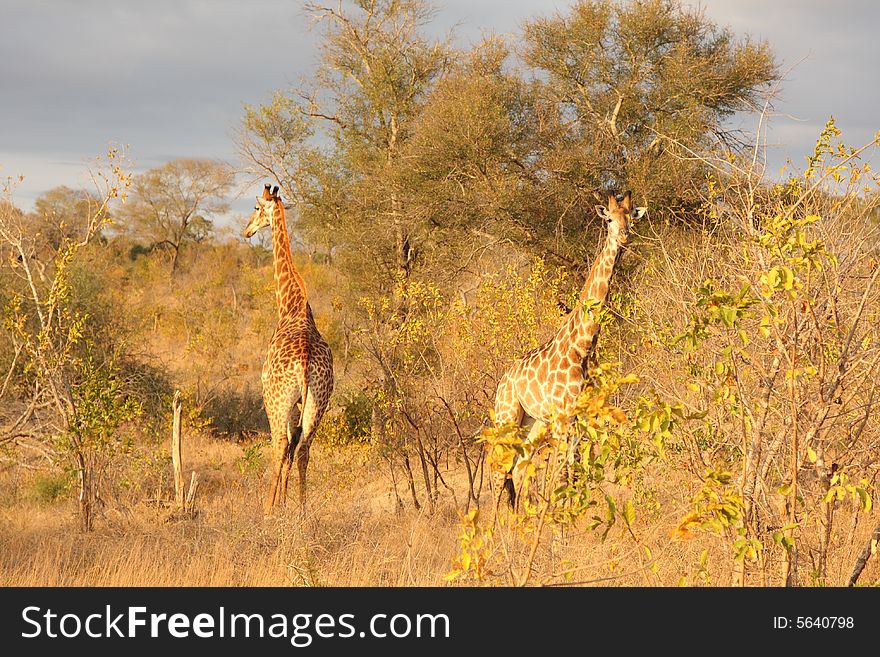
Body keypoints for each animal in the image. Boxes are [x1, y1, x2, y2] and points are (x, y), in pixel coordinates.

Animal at [244, 184, 334, 512]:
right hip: (319, 400)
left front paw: (278, 505)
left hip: (276, 399)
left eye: (257, 208)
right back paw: (303, 510)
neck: (290, 305)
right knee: (304, 447)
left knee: (279, 444)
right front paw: (286, 502)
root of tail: (306, 361)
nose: (246, 230)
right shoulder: (301, 403)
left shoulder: (277, 396)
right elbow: (296, 449)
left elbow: (283, 448)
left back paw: (267, 510)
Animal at [492, 190, 644, 508]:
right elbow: (564, 472)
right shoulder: (564, 416)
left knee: (519, 465)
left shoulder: (582, 415)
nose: (624, 237)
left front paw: (575, 512)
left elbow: (577, 470)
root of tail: (501, 382)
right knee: (500, 469)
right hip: (507, 417)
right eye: (609, 219)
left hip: (533, 423)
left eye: (630, 217)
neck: (583, 347)